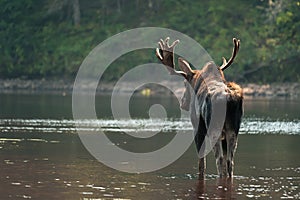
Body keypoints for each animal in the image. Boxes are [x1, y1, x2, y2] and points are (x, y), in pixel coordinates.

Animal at [156, 37, 243, 178]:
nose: (182, 102)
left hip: (214, 128)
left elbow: (201, 162)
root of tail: (229, 98)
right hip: (233, 130)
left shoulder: (197, 128)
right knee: (229, 161)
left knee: (219, 159)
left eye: (185, 83)